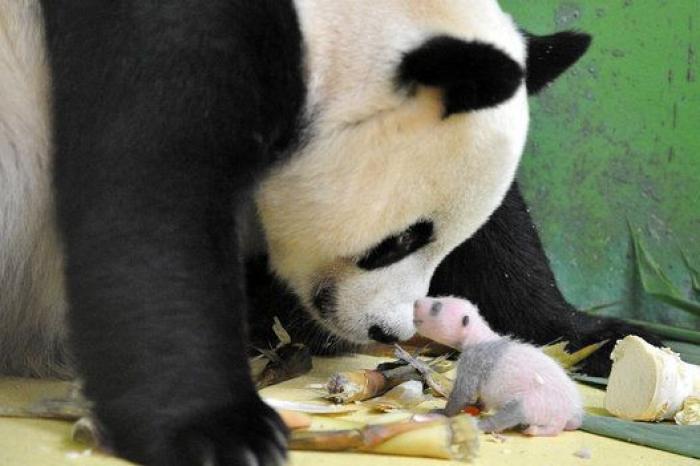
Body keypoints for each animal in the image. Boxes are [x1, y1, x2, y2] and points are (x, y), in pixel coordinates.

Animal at [0, 0, 660, 465]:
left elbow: (504, 233)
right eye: (398, 242)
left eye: (437, 241)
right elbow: (150, 191)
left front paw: (593, 338)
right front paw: (220, 430)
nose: (390, 330)